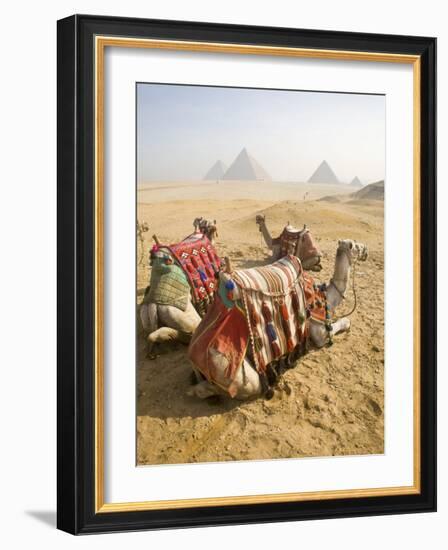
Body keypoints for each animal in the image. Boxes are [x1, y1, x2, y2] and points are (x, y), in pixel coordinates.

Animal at [137, 218, 220, 356]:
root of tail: (154, 305)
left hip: (146, 315)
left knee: (152, 333)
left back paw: (154, 351)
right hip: (184, 318)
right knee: (191, 332)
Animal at [188, 240, 368, 402]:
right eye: (356, 246)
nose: (366, 251)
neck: (325, 298)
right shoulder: (318, 332)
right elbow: (341, 324)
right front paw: (346, 324)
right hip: (233, 372)